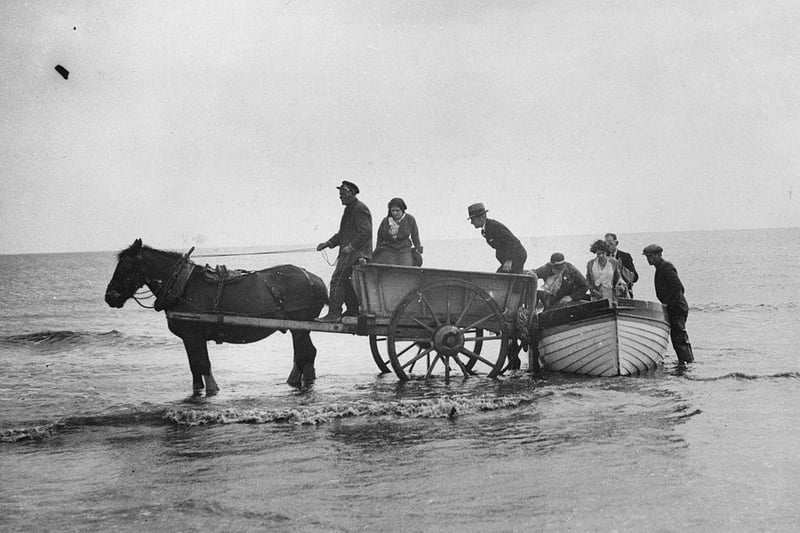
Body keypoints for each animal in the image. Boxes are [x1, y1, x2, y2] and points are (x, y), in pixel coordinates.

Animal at [105, 239, 328, 392]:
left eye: (126, 266)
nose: (110, 297)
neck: (183, 285)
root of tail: (316, 280)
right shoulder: (188, 338)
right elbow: (194, 367)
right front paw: (198, 390)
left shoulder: (194, 335)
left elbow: (203, 364)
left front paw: (213, 390)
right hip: (300, 328)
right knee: (307, 353)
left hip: (299, 327)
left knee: (305, 353)